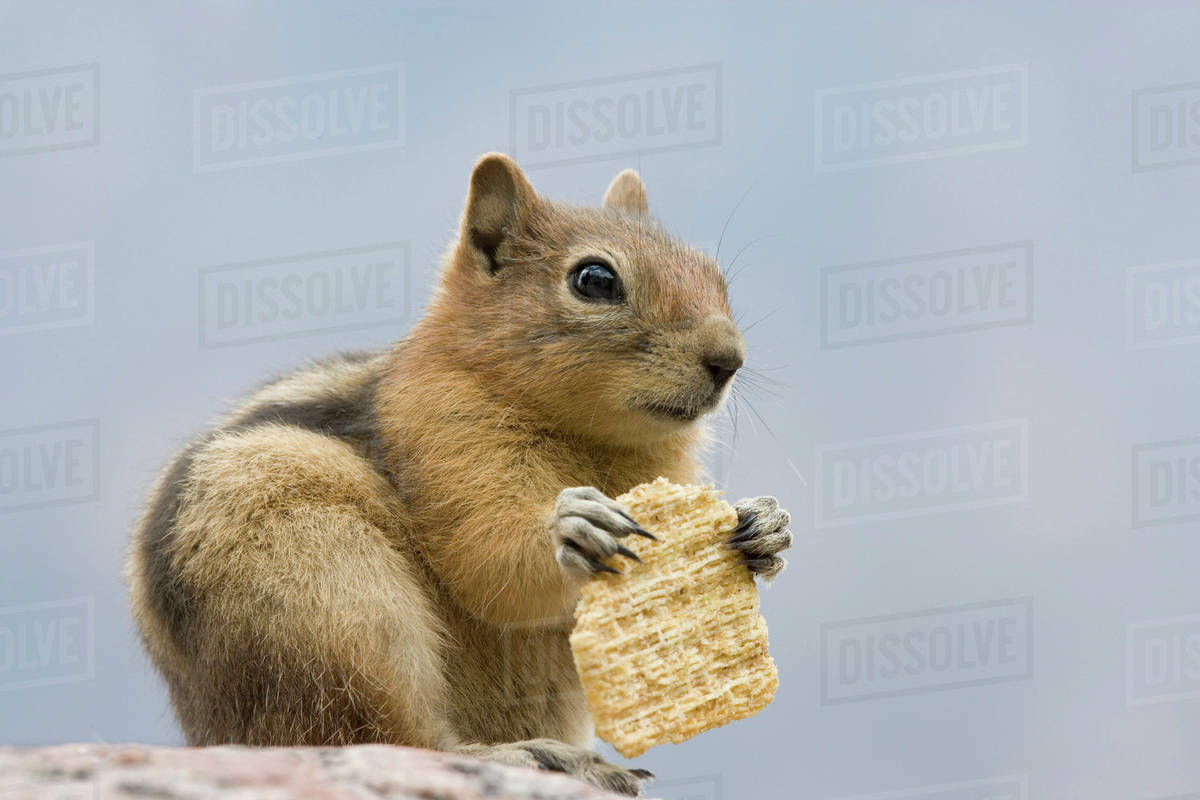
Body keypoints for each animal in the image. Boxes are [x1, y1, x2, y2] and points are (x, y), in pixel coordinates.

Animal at [125, 154, 792, 797]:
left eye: (715, 276)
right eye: (595, 280)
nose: (728, 359)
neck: (594, 438)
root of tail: (214, 732)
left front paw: (764, 527)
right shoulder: (444, 438)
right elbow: (486, 558)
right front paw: (569, 525)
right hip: (334, 608)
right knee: (394, 735)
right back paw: (524, 754)